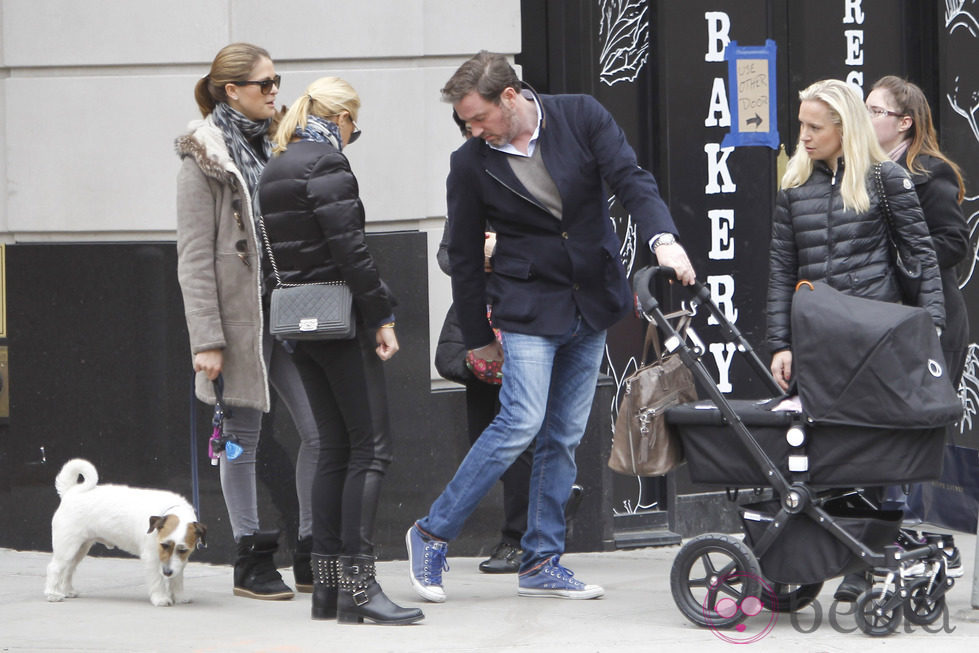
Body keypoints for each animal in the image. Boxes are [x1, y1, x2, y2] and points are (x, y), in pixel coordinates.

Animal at [45, 458, 206, 608]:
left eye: (183, 550)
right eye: (164, 545)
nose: (167, 572)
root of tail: (71, 492)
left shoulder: (180, 561)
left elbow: (177, 579)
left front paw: (179, 597)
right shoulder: (152, 558)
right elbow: (157, 580)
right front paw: (160, 598)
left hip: (80, 547)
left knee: (69, 568)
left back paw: (67, 590)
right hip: (67, 546)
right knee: (54, 568)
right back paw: (52, 594)